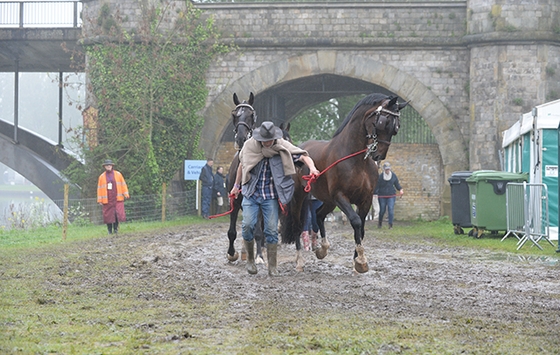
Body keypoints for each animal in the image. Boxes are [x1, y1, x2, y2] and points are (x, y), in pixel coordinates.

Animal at [284, 93, 406, 274]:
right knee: (297, 225)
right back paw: (300, 261)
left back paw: (322, 249)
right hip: (300, 196)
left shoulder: (365, 199)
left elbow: (361, 228)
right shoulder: (341, 197)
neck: (356, 159)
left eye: (396, 127)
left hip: (328, 200)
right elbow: (355, 221)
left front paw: (358, 261)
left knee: (319, 215)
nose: (378, 156)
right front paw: (361, 260)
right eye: (383, 122)